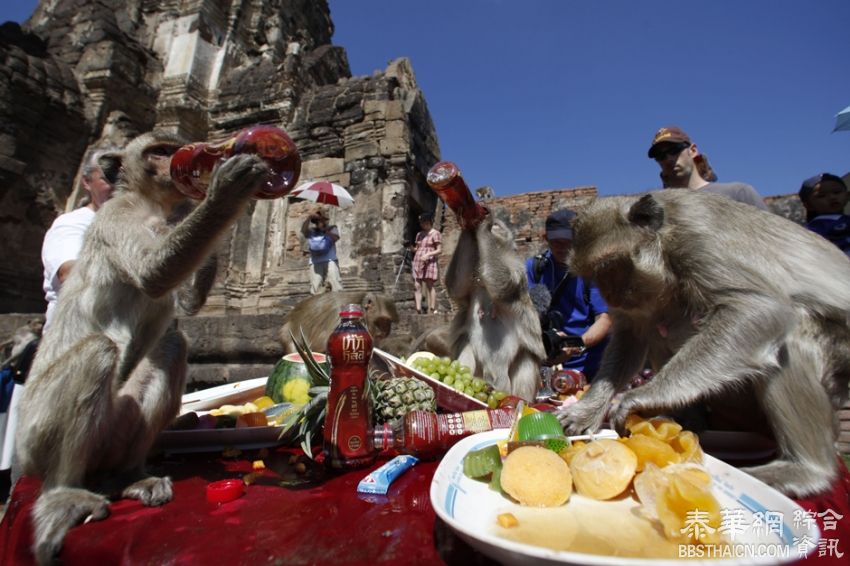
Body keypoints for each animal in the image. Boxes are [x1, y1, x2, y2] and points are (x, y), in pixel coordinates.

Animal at [15, 132, 268, 564]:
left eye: (170, 148)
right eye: (158, 152)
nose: (176, 163)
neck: (151, 206)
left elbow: (182, 302)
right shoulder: (116, 216)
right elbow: (154, 274)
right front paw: (225, 192)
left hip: (115, 430)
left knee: (171, 343)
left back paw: (128, 476)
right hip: (36, 435)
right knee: (98, 351)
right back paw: (61, 494)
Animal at [444, 213, 544, 404]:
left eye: (498, 225)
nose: (494, 225)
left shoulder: (518, 268)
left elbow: (504, 284)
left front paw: (483, 227)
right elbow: (457, 288)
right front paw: (469, 227)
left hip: (511, 386)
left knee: (526, 356)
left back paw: (522, 401)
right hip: (479, 374)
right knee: (466, 343)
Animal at [556, 192, 848, 502]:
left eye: (610, 267)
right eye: (595, 275)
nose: (609, 295)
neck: (666, 240)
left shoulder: (699, 238)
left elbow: (758, 309)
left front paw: (638, 398)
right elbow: (631, 335)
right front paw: (587, 410)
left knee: (791, 339)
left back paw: (806, 470)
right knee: (662, 325)